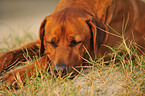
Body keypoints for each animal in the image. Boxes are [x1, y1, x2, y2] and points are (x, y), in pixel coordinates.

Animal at [0, 0, 145, 88]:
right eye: (51, 42)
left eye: (76, 42)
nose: (59, 71)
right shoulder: (41, 42)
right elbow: (13, 52)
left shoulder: (103, 54)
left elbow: (45, 59)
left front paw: (15, 75)